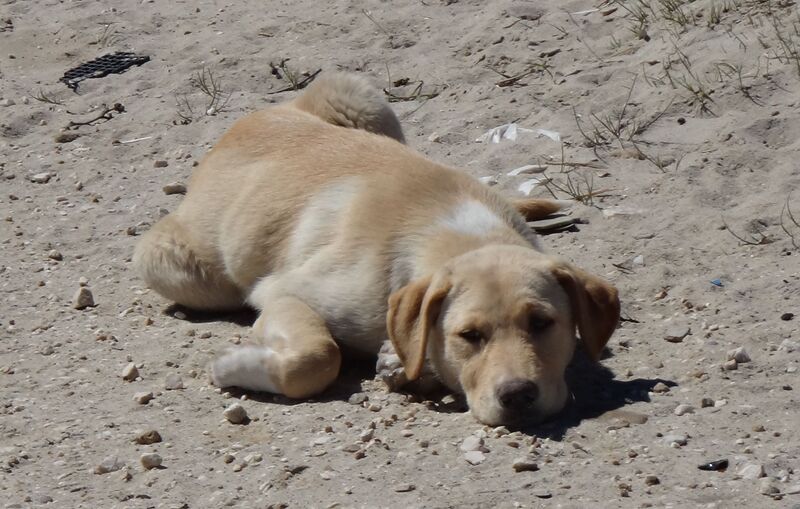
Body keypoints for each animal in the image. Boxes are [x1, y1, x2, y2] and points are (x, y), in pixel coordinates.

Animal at [134, 72, 620, 424]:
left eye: (542, 323)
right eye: (469, 336)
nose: (518, 396)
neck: (457, 235)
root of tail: (242, 124)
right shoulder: (282, 293)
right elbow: (318, 356)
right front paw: (232, 365)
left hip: (368, 100)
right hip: (180, 269)